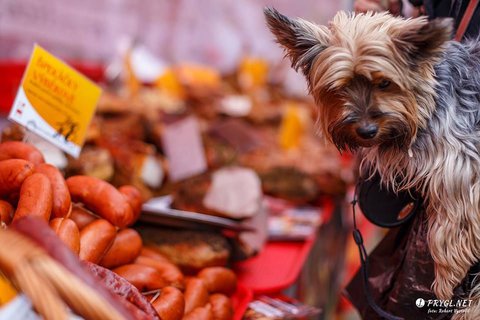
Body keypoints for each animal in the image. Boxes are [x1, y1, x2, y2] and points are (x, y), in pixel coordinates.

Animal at [266, 6, 480, 318]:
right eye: (338, 88)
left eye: (385, 83)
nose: (366, 131)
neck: (429, 103)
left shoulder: (461, 162)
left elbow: (453, 216)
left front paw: (447, 276)